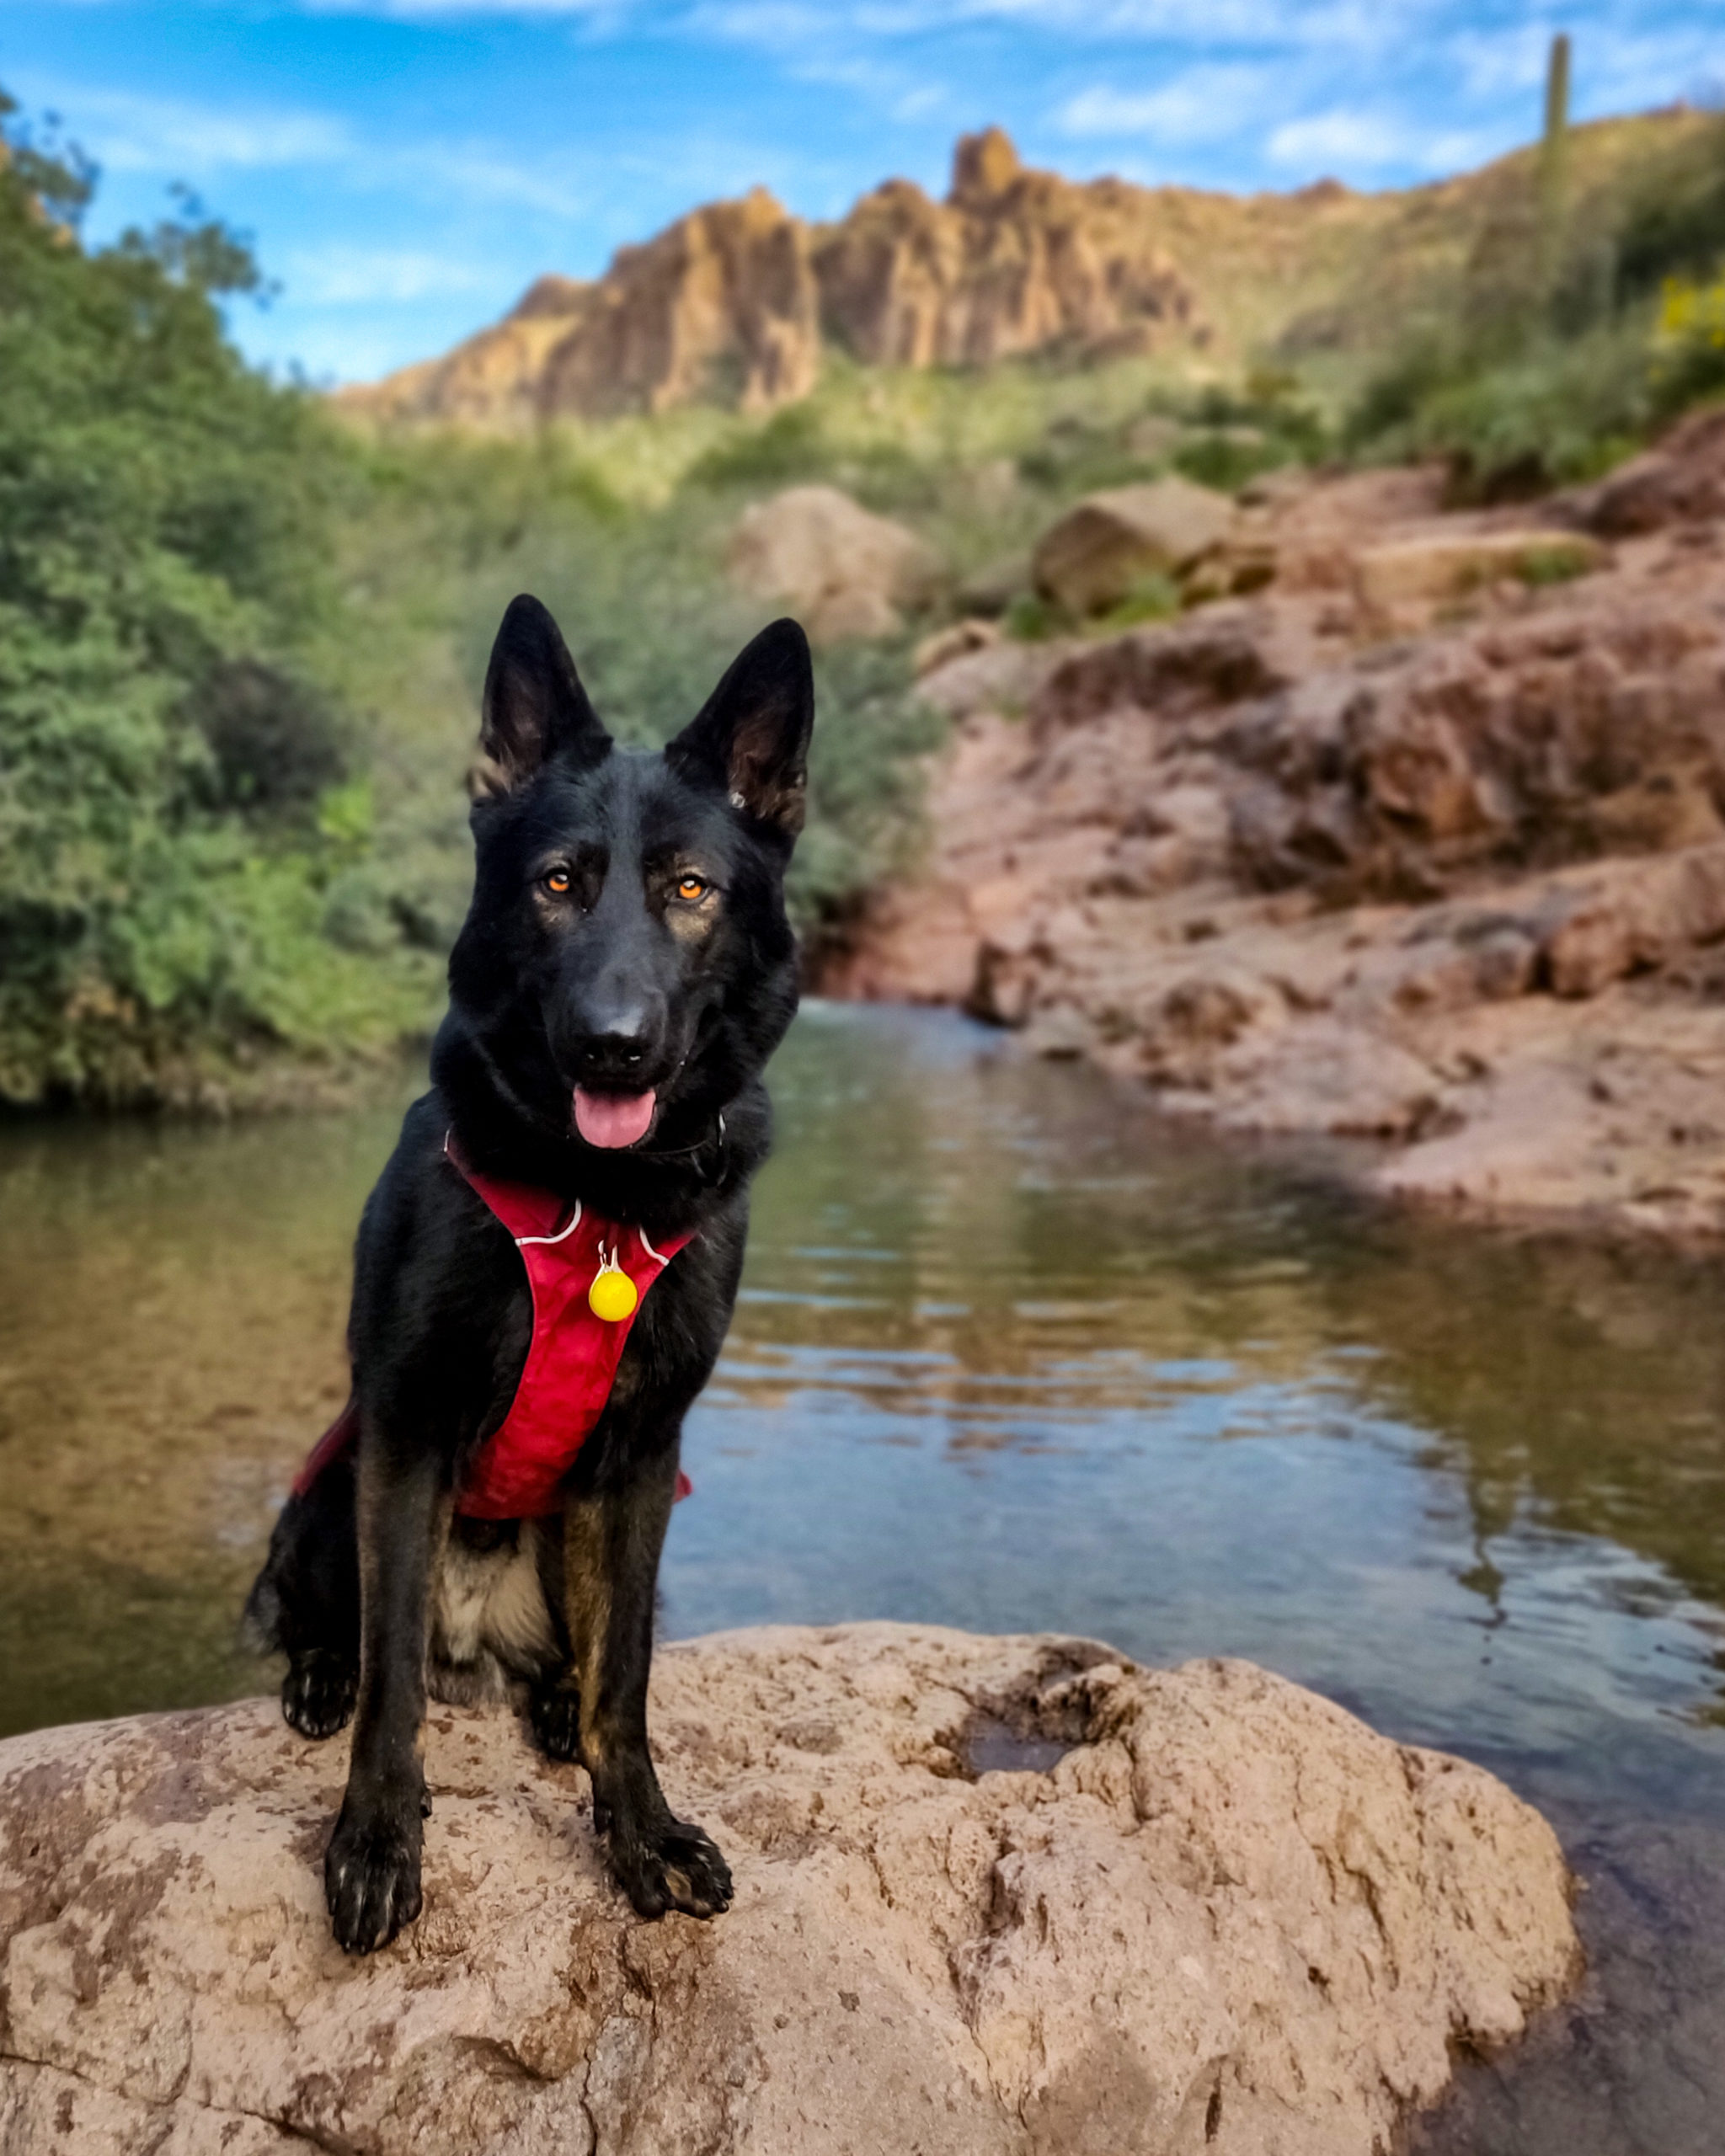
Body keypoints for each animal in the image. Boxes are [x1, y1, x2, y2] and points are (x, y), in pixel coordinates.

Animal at [244, 595, 814, 1957]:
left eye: (690, 890)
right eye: (559, 884)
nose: (612, 1045)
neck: (593, 1205)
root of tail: (481, 1637)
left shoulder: (646, 1453)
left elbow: (628, 1684)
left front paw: (640, 1832)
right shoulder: (407, 1426)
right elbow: (391, 1682)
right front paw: (376, 1837)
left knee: (583, 1655)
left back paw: (551, 1700)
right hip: (324, 1497)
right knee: (350, 1633)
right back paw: (320, 1676)